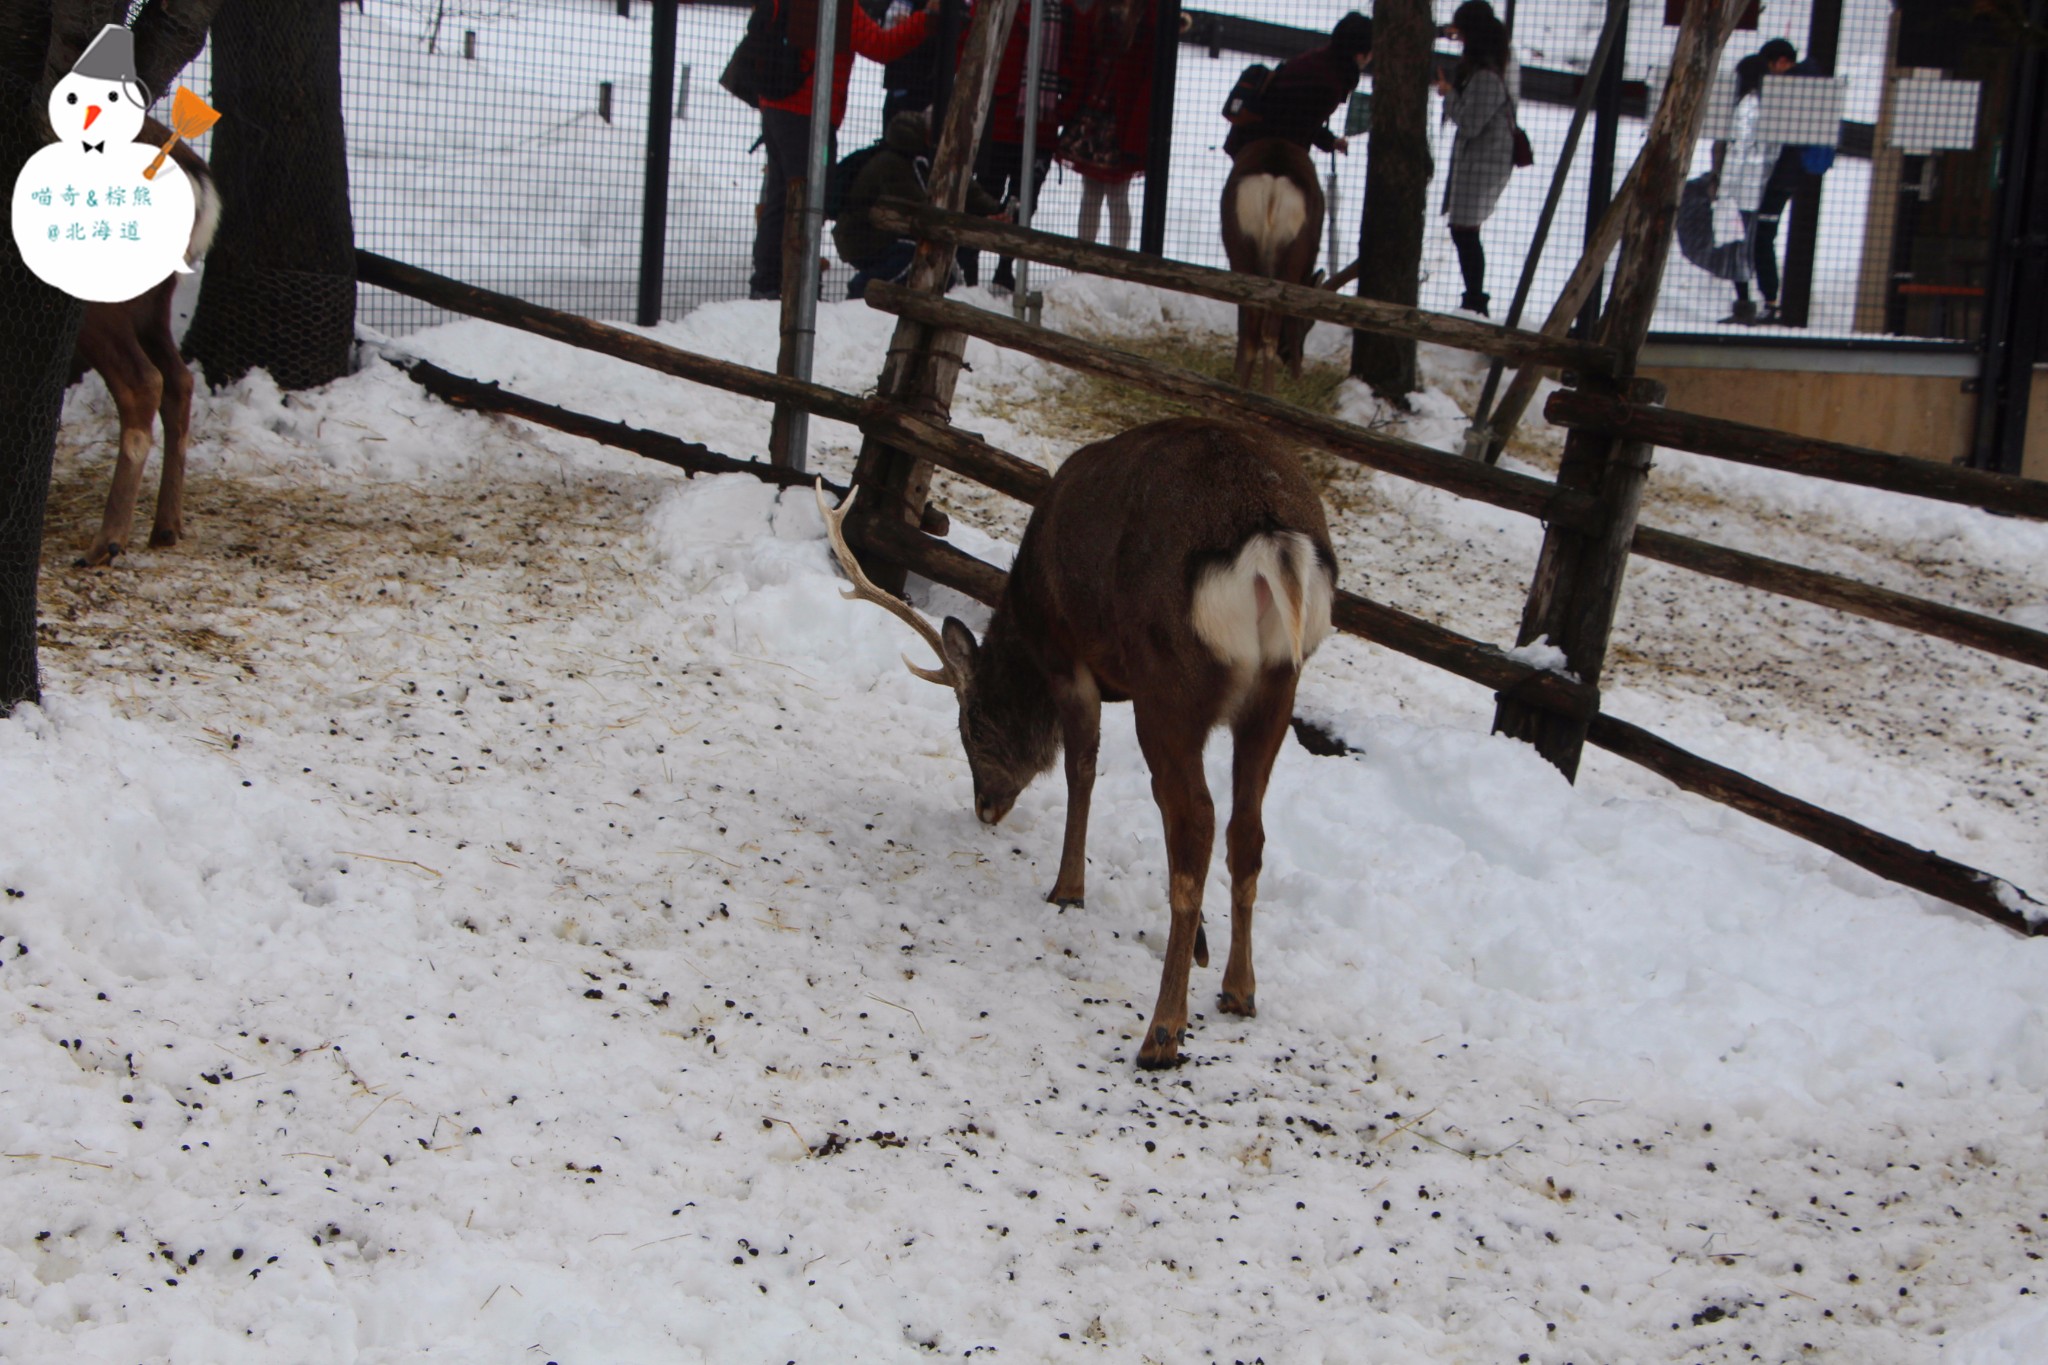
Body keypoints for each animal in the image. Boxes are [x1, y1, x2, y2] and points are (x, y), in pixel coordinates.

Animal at [70, 130, 220, 568]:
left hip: (99, 298)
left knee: (142, 382)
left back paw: (107, 542)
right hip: (154, 304)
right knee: (179, 380)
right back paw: (166, 527)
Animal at [823, 417, 1335, 1064]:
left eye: (973, 726)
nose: (985, 807)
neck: (1025, 608)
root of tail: (1271, 542)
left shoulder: (1071, 661)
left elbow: (1081, 770)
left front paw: (1068, 890)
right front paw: (1200, 946)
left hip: (1169, 681)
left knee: (1196, 820)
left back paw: (1162, 1031)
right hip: (1277, 687)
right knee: (1246, 828)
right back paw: (1238, 991)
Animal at [1212, 137, 1327, 388]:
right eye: (1310, 323)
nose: (1294, 356)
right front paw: (1296, 376)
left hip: (1239, 246)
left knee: (1252, 325)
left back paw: (1244, 388)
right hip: (1292, 255)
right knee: (1270, 330)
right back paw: (1267, 391)